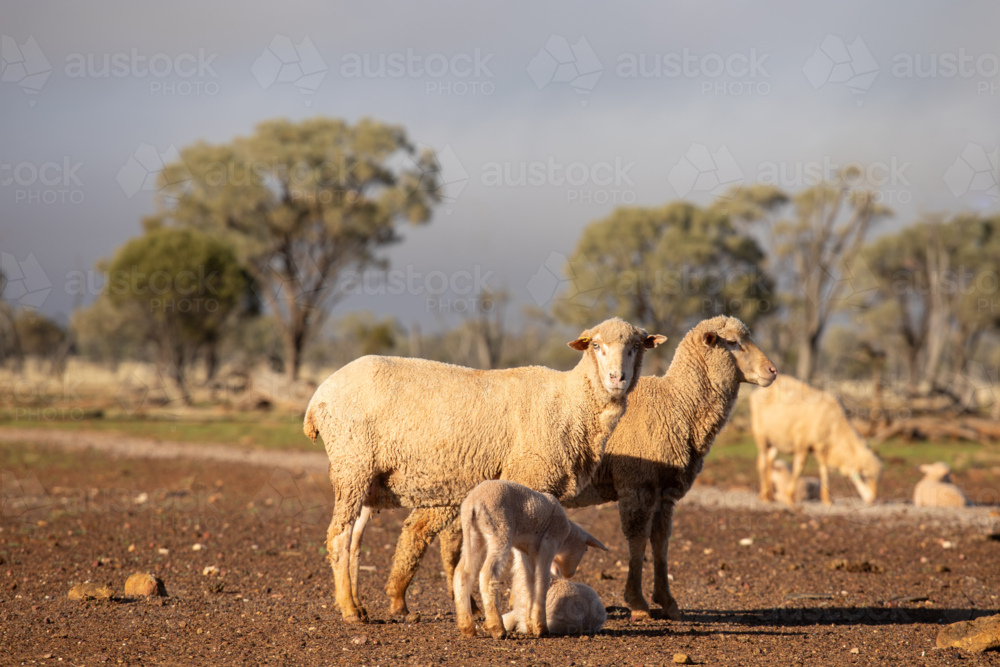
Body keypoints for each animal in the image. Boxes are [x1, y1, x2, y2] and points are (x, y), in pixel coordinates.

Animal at [305, 317, 665, 623]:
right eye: (596, 345)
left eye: (635, 346)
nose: (617, 378)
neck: (571, 402)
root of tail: (318, 396)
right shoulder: (530, 476)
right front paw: (521, 605)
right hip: (352, 464)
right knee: (338, 536)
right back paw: (350, 611)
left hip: (366, 478)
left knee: (354, 539)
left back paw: (358, 604)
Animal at [386, 316, 777, 622]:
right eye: (734, 344)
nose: (772, 371)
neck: (678, 403)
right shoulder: (636, 485)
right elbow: (637, 541)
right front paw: (637, 603)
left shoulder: (664, 493)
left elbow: (661, 544)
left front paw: (667, 602)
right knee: (427, 532)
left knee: (433, 533)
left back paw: (445, 601)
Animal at [453, 480, 608, 639]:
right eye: (586, 549)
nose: (570, 574)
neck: (566, 536)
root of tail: (473, 503)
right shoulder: (550, 541)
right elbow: (542, 580)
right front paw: (541, 628)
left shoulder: (527, 552)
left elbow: (530, 582)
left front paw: (530, 625)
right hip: (499, 530)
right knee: (487, 574)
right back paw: (497, 628)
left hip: (472, 533)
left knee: (462, 573)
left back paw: (467, 627)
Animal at [751, 374, 883, 506]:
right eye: (865, 477)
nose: (874, 500)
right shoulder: (803, 444)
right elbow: (798, 469)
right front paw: (790, 498)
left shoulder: (822, 448)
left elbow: (824, 471)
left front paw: (827, 500)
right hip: (760, 434)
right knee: (762, 463)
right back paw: (765, 497)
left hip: (775, 439)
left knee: (769, 461)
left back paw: (768, 495)